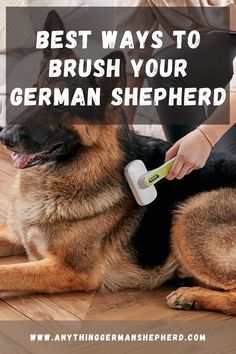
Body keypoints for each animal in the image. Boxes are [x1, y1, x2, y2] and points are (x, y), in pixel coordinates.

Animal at [0, 11, 236, 316]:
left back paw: (192, 295)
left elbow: (7, 273)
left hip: (189, 214)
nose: (4, 136)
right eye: (33, 93)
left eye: (62, 105)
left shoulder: (67, 270)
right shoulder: (17, 235)